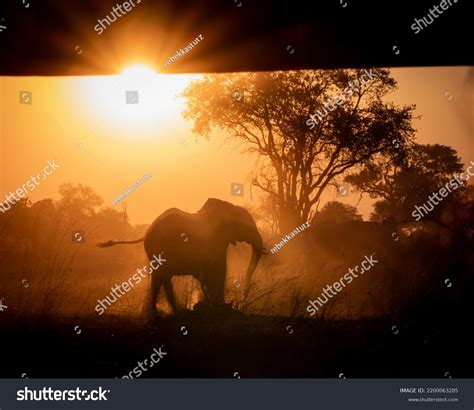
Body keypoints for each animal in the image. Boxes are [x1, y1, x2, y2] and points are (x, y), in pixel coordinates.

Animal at [96, 199, 264, 318]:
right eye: (247, 227)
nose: (243, 296)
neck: (229, 207)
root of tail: (147, 232)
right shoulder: (215, 241)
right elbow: (219, 270)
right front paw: (218, 308)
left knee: (164, 279)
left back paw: (176, 313)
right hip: (159, 249)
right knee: (158, 279)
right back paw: (158, 316)